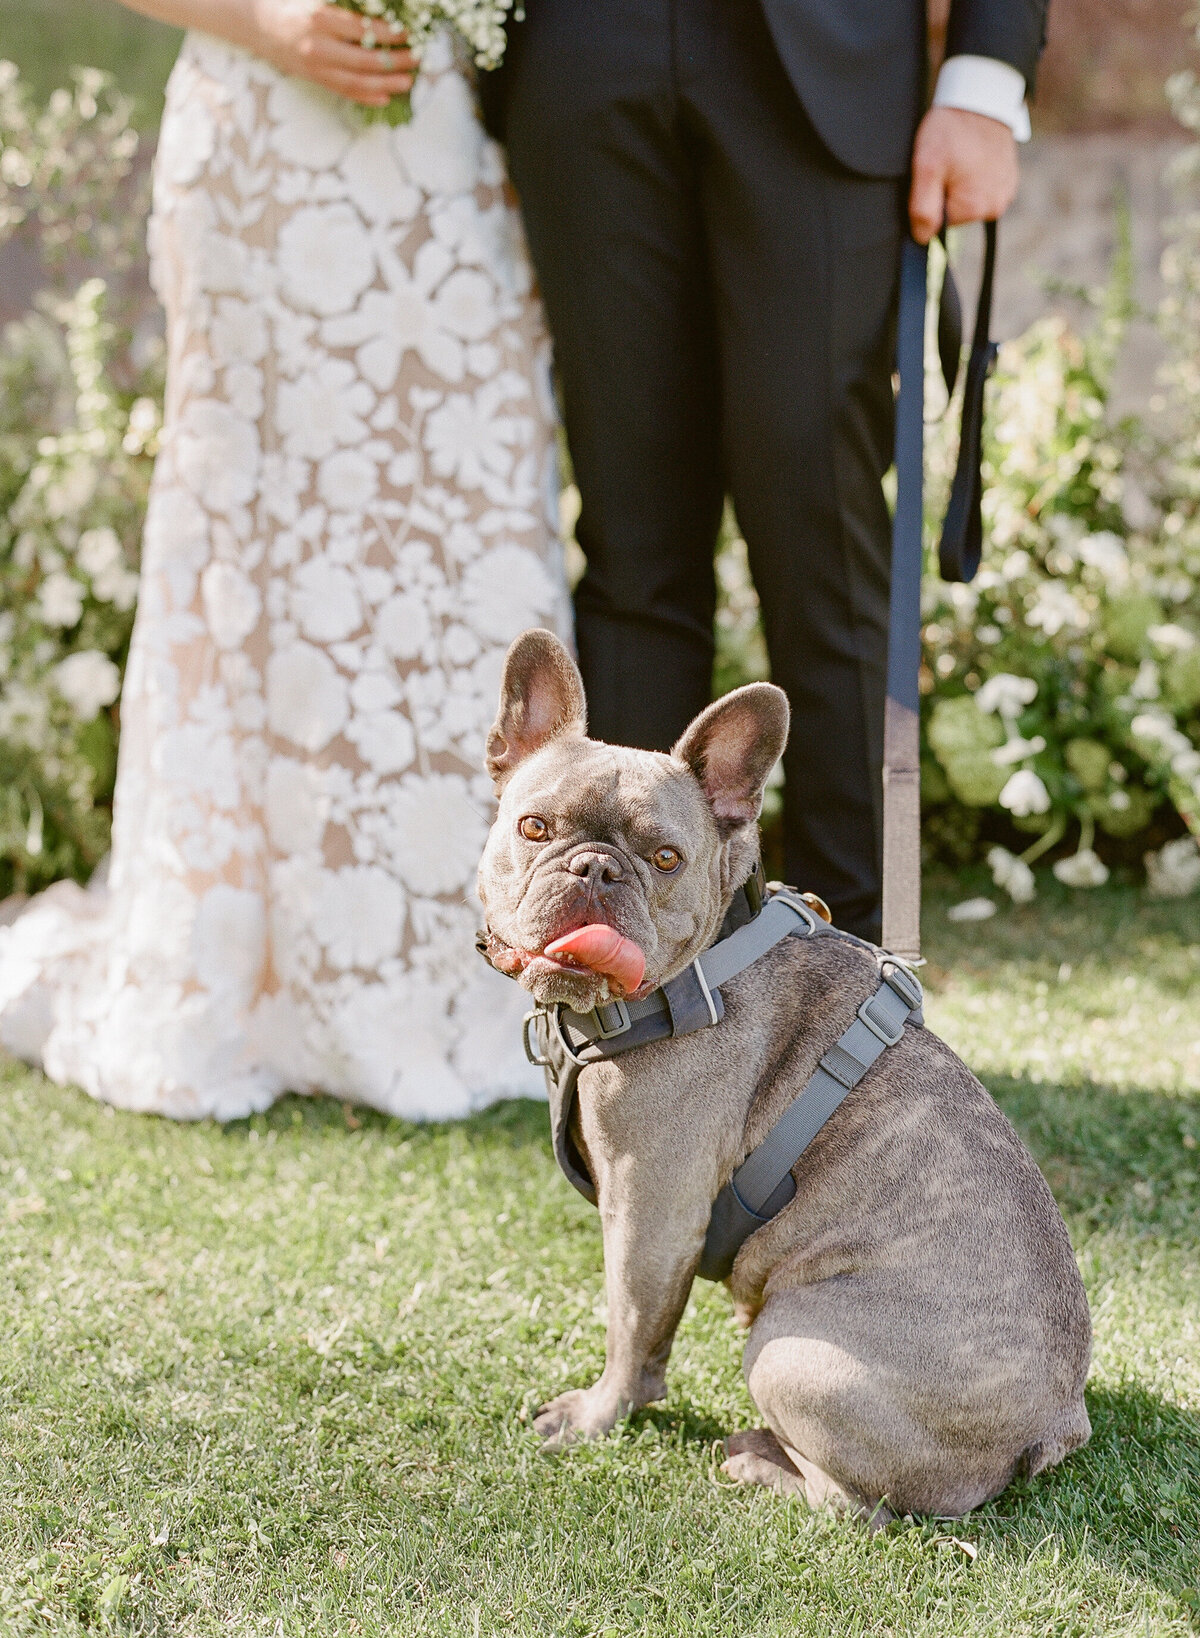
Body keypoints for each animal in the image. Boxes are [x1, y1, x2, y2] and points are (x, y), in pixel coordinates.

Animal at [474, 632, 1087, 1526]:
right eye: (534, 826)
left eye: (666, 859)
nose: (595, 870)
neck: (698, 971)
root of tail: (1056, 1425)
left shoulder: (650, 1211)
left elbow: (632, 1327)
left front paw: (595, 1416)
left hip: (790, 1351)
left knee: (853, 1504)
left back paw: (758, 1463)